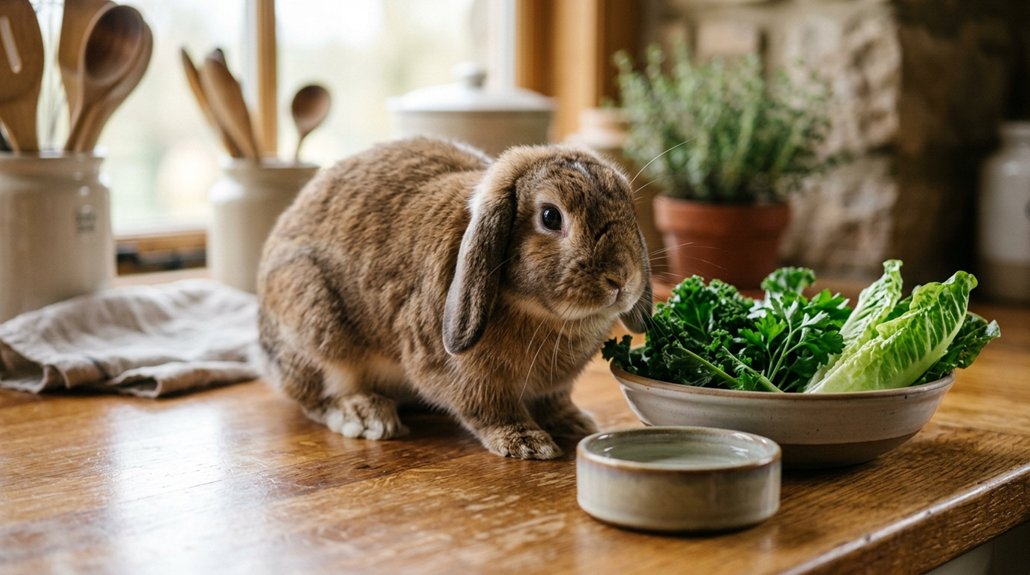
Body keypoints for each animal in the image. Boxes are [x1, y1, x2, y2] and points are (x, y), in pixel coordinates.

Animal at [257, 137, 652, 459]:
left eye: (629, 208)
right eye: (551, 217)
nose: (621, 279)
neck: (540, 313)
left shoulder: (554, 387)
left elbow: (555, 400)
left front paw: (575, 423)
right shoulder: (461, 373)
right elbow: (488, 408)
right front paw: (526, 442)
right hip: (313, 323)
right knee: (319, 394)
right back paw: (367, 415)